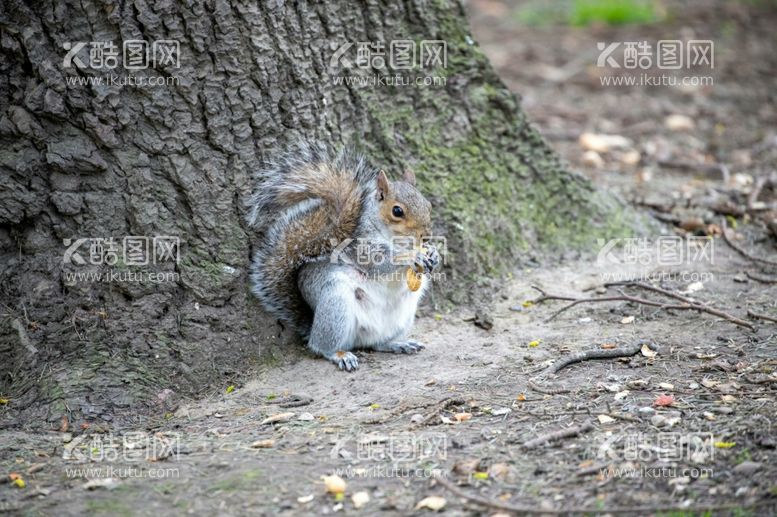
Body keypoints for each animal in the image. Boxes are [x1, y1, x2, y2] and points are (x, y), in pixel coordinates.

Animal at [246, 139, 440, 368]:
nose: (426, 236)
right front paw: (412, 256)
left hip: (403, 316)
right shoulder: (360, 246)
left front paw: (434, 254)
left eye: (428, 205)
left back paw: (397, 344)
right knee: (320, 346)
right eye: (397, 211)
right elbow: (379, 263)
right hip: (335, 305)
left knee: (378, 343)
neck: (396, 240)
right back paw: (340, 354)